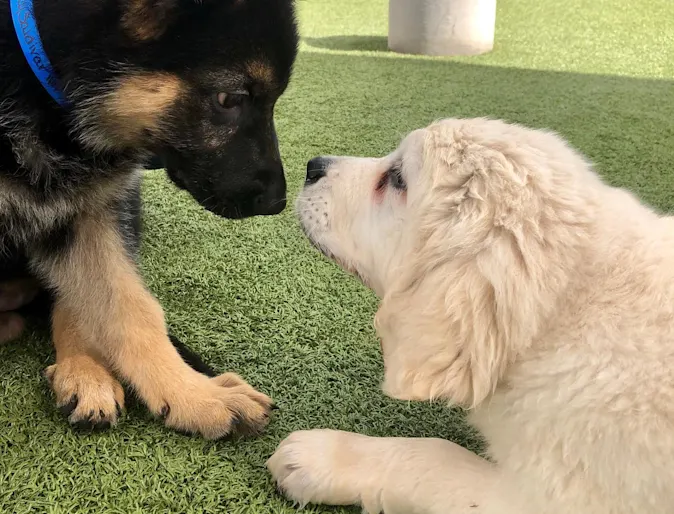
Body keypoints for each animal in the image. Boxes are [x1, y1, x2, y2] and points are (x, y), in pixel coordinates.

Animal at [0, 0, 296, 436]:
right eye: (229, 99)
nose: (278, 202)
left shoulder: (89, 208)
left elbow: (131, 308)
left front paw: (193, 394)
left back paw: (84, 369)